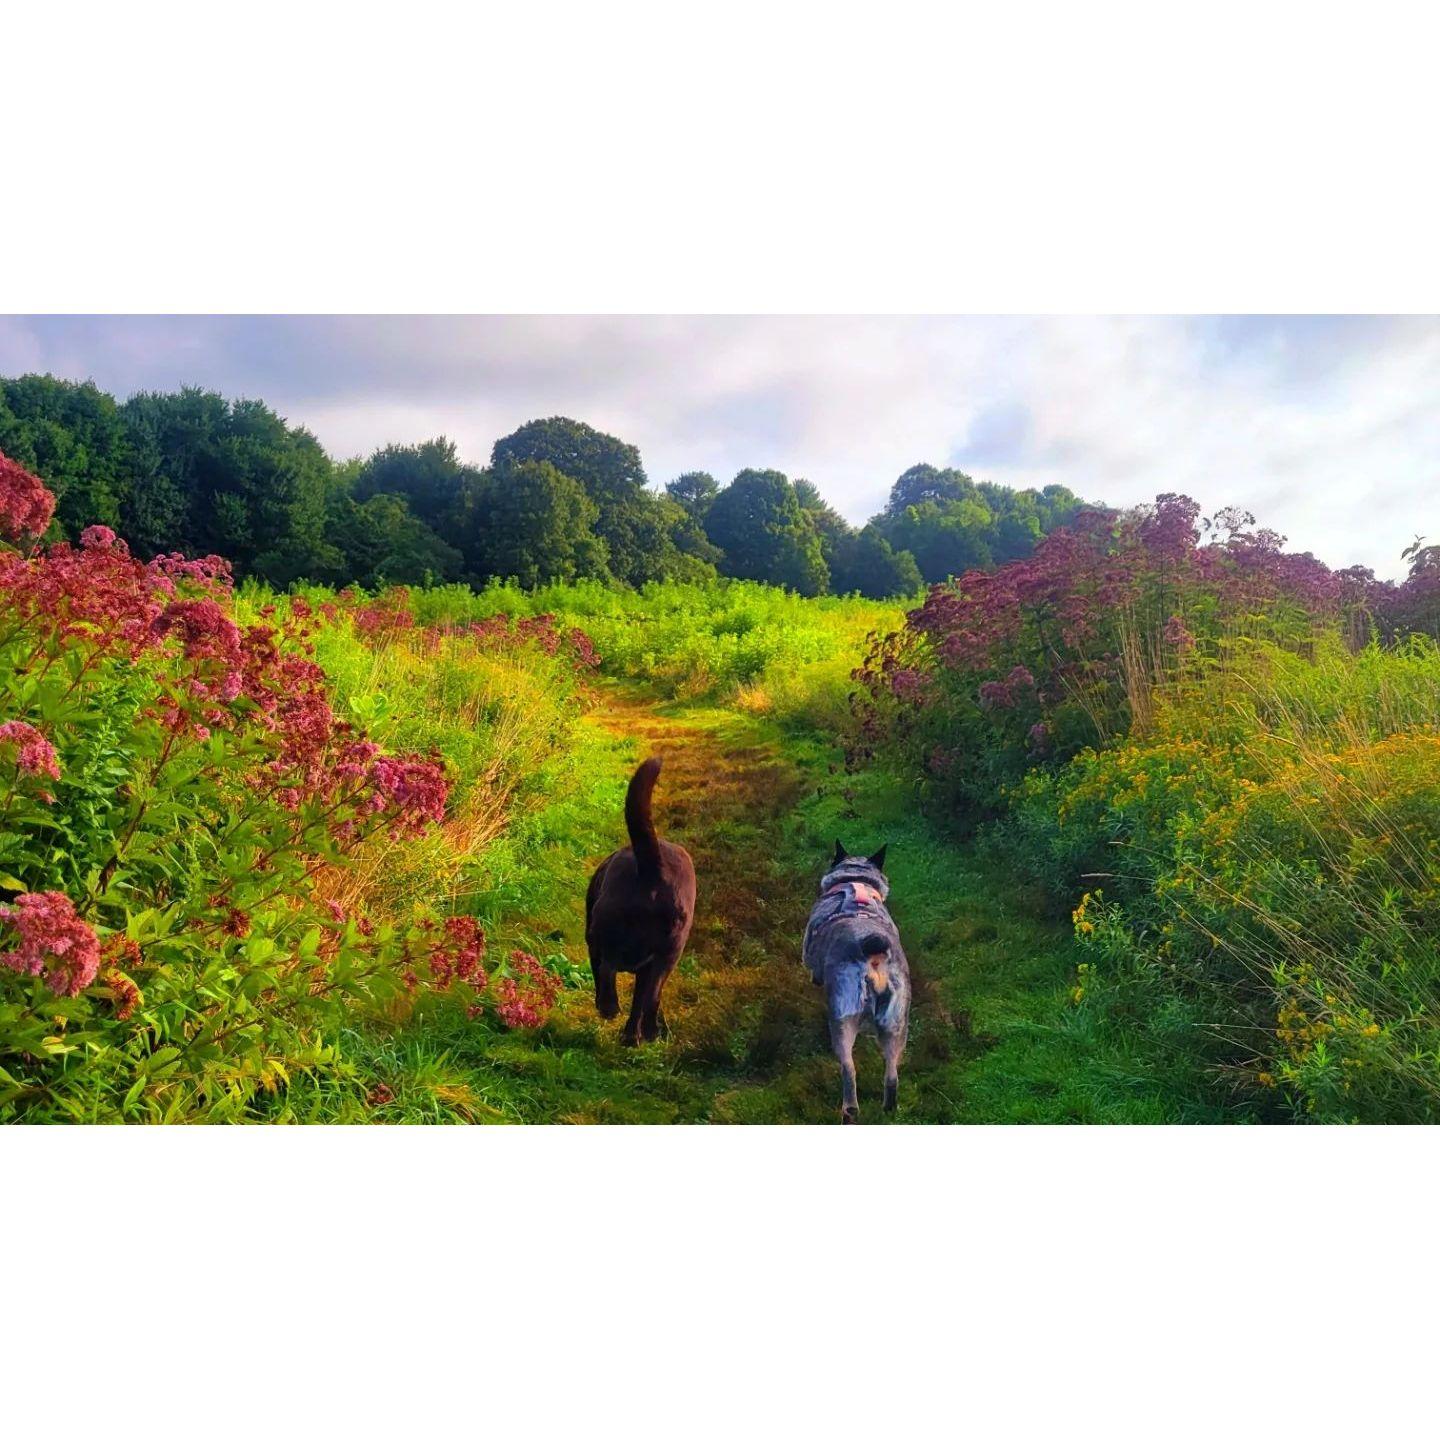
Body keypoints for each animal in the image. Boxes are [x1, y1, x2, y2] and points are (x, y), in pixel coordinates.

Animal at [584, 754, 696, 1048]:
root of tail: (653, 867)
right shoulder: (651, 968)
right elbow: (642, 1001)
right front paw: (638, 1033)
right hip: (668, 955)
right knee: (648, 996)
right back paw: (641, 1029)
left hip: (603, 928)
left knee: (607, 967)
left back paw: (610, 1009)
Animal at [806, 840, 904, 1123]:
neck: (856, 879)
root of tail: (874, 956)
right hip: (896, 1025)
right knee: (892, 1073)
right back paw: (889, 1109)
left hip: (843, 1021)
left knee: (848, 1070)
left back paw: (849, 1112)